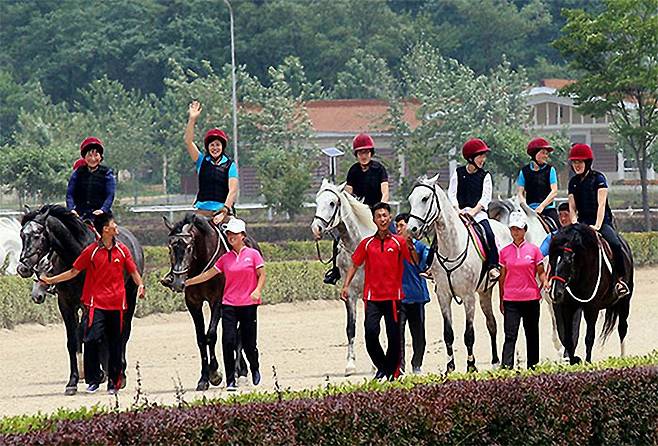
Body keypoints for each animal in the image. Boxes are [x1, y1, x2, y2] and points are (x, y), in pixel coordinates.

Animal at [16, 204, 144, 396]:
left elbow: (86, 334)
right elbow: (73, 340)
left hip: (129, 296)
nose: (22, 267)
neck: (75, 256)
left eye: (38, 235)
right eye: (22, 235)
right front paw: (73, 381)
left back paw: (119, 373)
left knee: (123, 332)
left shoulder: (87, 304)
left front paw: (96, 373)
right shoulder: (66, 304)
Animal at [308, 179, 374, 374]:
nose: (316, 228)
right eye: (317, 201)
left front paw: (375, 364)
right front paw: (350, 364)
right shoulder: (349, 294)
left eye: (332, 203)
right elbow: (350, 328)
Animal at [402, 174, 510, 372]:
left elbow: (469, 334)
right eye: (411, 199)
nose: (411, 230)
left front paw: (471, 366)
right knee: (491, 324)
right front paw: (450, 367)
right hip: (484, 293)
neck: (452, 246)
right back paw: (494, 361)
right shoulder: (444, 296)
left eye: (425, 198)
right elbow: (448, 333)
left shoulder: (468, 297)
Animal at [544, 225, 632, 364]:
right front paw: (572, 360)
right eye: (552, 260)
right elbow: (568, 338)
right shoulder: (567, 307)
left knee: (622, 328)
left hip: (625, 301)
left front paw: (588, 362)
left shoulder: (592, 308)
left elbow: (589, 337)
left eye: (568, 260)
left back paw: (623, 357)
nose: (555, 292)